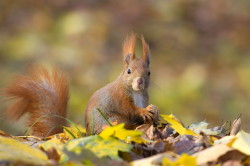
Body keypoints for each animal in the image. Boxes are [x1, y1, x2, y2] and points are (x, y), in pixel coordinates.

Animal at [3, 33, 158, 137]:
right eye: (129, 71)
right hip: (113, 120)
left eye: (149, 72)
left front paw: (153, 110)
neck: (135, 91)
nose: (140, 81)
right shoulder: (119, 97)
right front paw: (143, 111)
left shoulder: (144, 97)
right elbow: (128, 108)